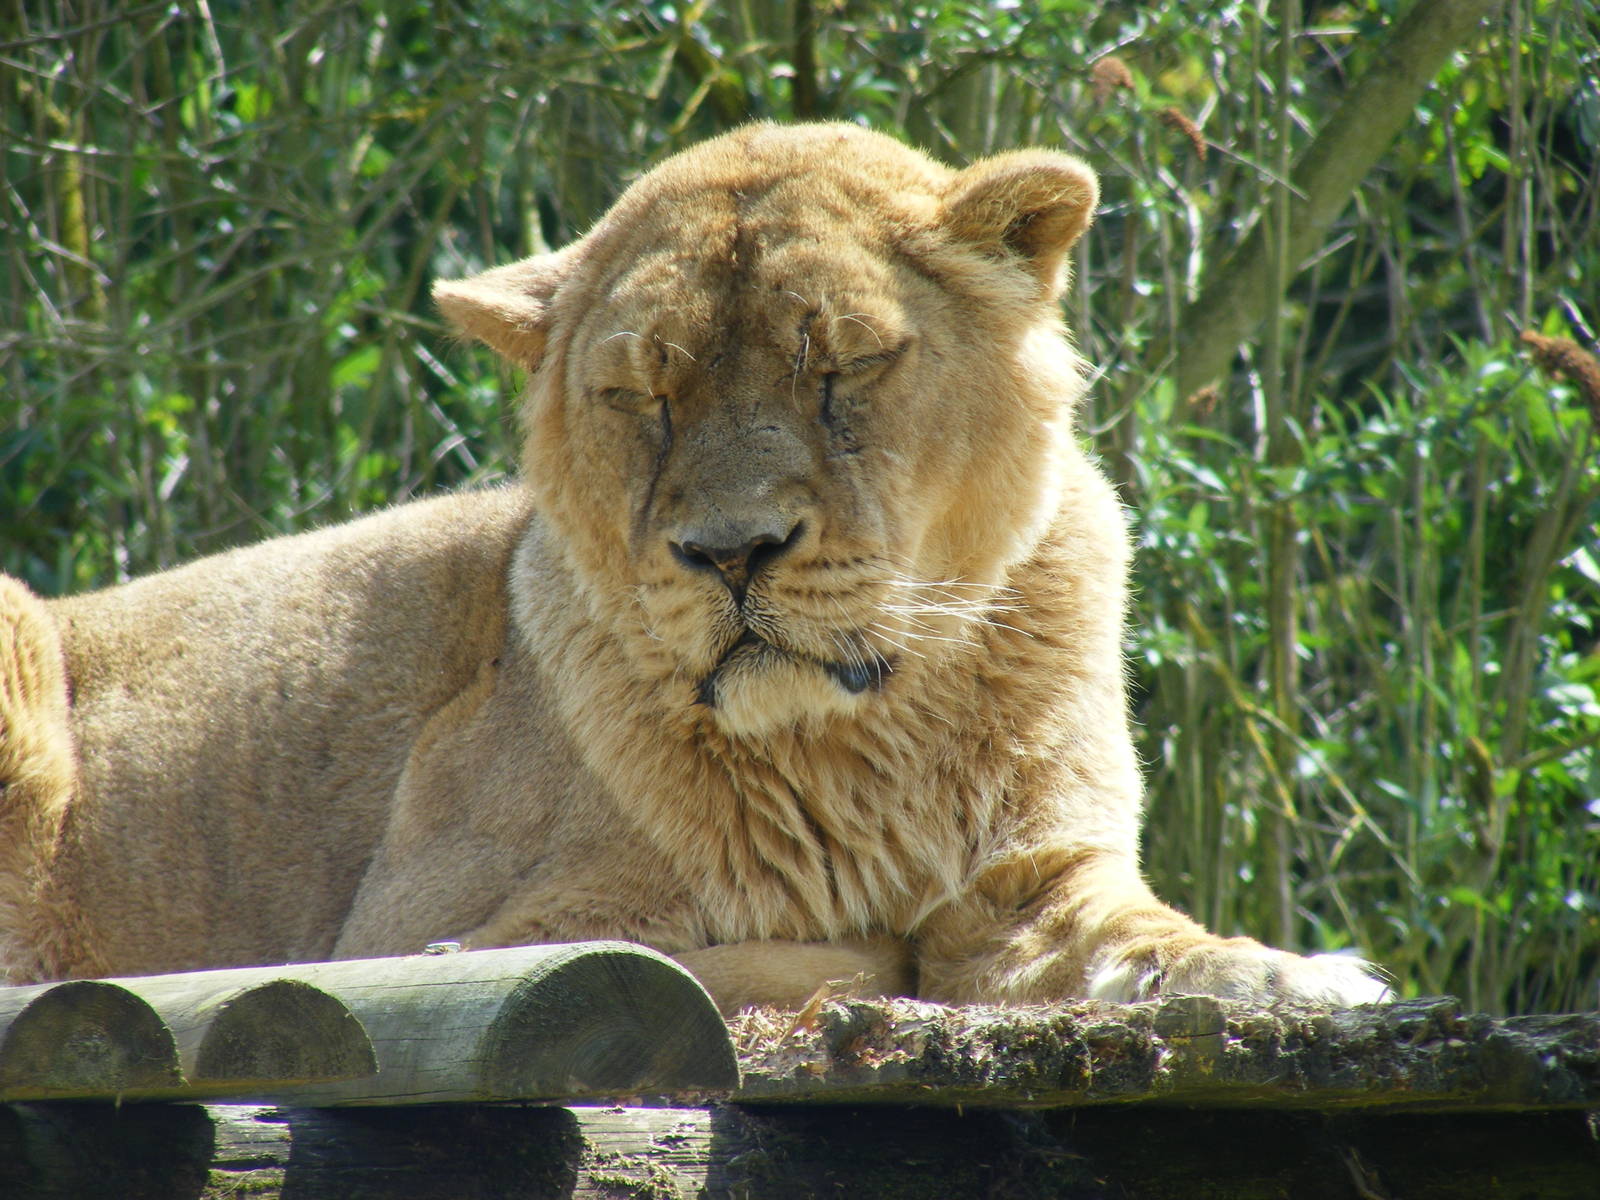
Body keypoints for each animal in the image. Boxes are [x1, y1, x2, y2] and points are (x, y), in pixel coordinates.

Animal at [0, 123, 1385, 1013]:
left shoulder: (1041, 877)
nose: (732, 552)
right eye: (640, 396)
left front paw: (1289, 973)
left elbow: (1146, 943)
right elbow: (733, 953)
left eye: (843, 366)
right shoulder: (412, 926)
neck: (857, 744)